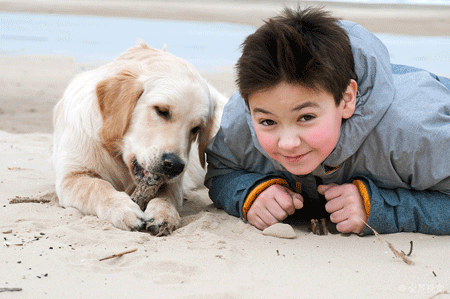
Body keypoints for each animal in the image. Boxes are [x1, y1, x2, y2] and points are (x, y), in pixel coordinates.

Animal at [52, 41, 227, 237]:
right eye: (161, 111)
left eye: (196, 128)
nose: (174, 165)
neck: (115, 151)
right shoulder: (71, 176)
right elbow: (97, 187)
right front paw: (122, 209)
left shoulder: (174, 181)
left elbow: (167, 195)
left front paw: (163, 214)